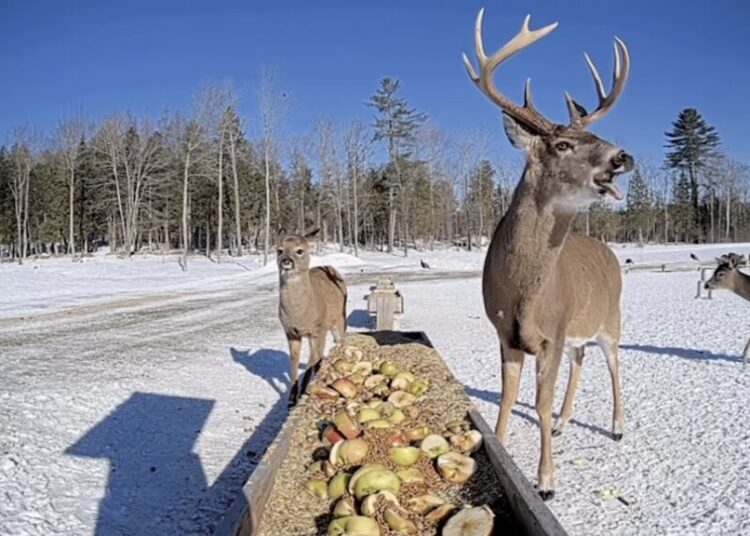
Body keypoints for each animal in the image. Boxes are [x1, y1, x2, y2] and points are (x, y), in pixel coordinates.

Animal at [277, 229, 348, 406]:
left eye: (299, 250)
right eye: (279, 250)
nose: (286, 261)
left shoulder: (317, 329)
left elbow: (311, 360)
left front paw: (302, 391)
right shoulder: (291, 332)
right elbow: (294, 361)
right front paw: (292, 397)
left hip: (339, 319)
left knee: (336, 342)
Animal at [462, 9, 633, 498]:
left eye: (598, 134)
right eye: (562, 144)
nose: (623, 157)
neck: (523, 291)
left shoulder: (551, 334)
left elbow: (537, 403)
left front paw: (545, 481)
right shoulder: (506, 333)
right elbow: (506, 398)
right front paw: (500, 449)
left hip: (610, 317)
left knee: (615, 363)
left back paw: (617, 426)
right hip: (578, 329)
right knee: (581, 362)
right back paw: (564, 422)